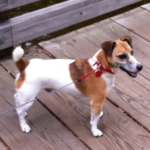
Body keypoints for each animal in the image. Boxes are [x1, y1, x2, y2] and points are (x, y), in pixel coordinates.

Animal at [12, 35, 143, 137]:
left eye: (132, 52)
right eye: (122, 56)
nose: (140, 67)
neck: (100, 67)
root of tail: (24, 65)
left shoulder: (94, 103)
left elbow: (93, 117)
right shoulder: (97, 102)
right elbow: (94, 121)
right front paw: (95, 131)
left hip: (25, 96)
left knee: (17, 98)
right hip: (29, 98)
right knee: (19, 111)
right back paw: (24, 125)